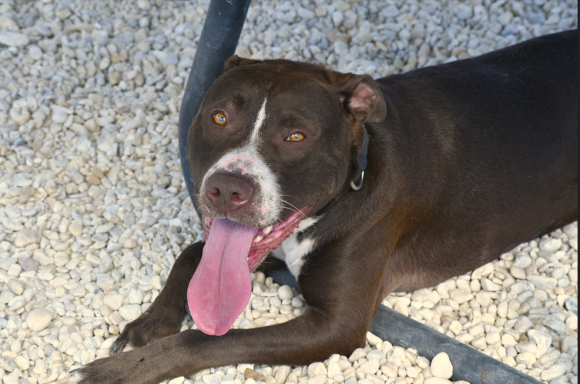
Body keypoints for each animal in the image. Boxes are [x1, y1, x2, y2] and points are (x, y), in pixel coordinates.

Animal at [57, 28, 576, 382]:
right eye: (219, 117)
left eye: (296, 136)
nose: (226, 189)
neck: (356, 175)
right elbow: (191, 254)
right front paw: (150, 322)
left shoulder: (336, 326)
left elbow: (204, 340)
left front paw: (117, 371)